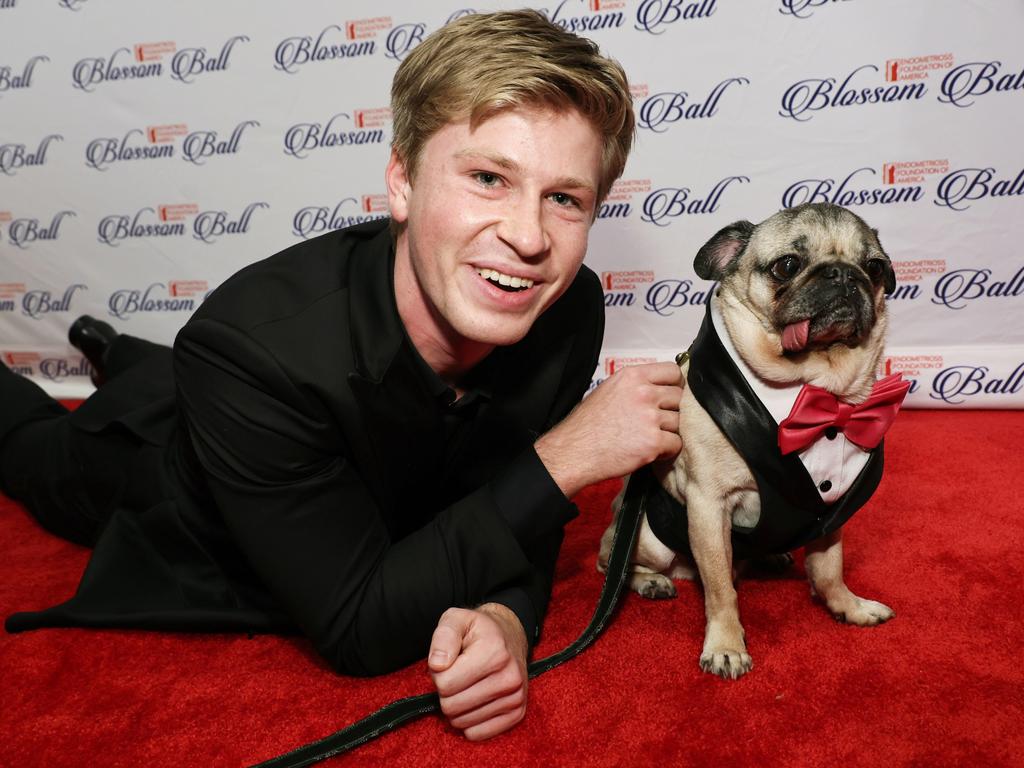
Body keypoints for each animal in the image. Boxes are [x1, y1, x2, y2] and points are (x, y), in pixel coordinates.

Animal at [598, 202, 905, 679]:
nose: (842, 273)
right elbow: (721, 589)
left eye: (874, 268)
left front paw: (847, 606)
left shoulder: (831, 512)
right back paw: (651, 581)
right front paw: (726, 645)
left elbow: (829, 568)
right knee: (615, 562)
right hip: (647, 536)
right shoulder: (709, 504)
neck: (816, 387)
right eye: (788, 265)